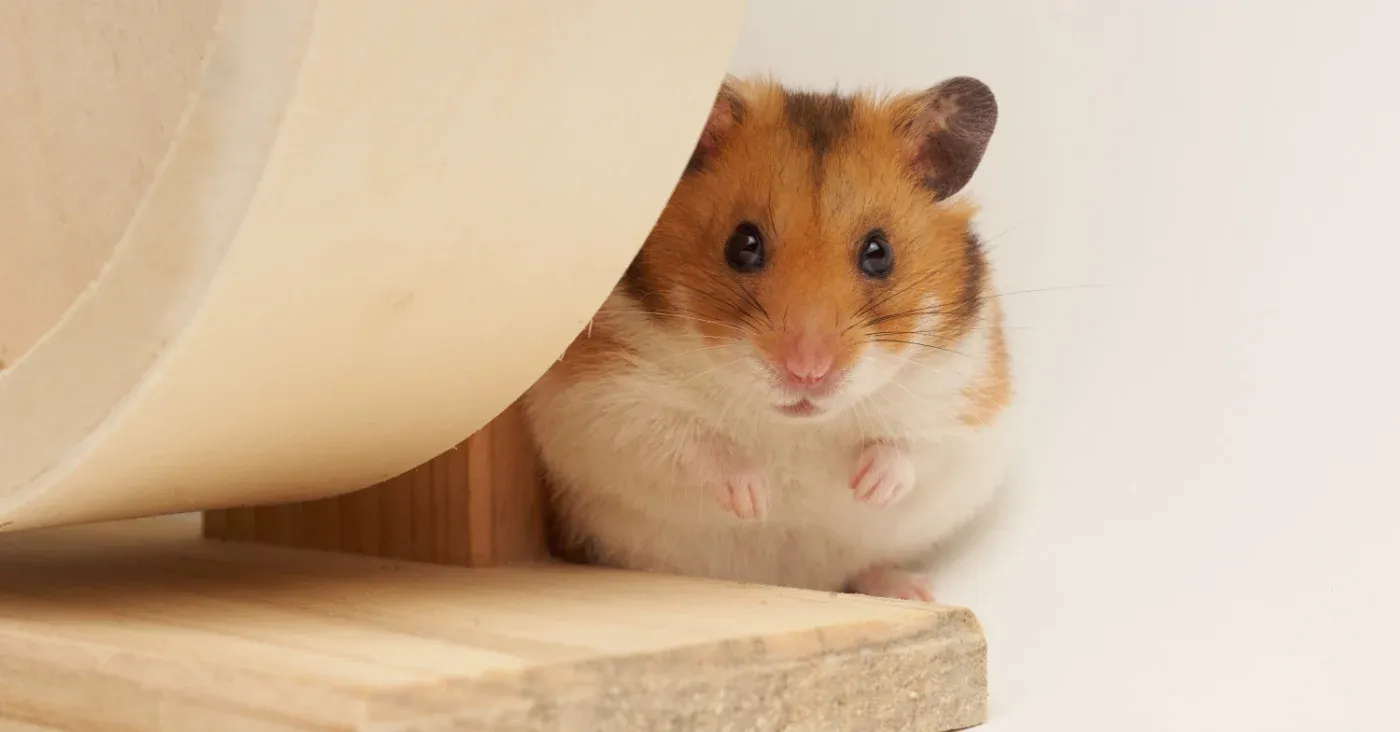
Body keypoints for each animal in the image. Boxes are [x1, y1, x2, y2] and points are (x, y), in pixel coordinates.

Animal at [523, 76, 1011, 602]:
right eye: (743, 244)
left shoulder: (965, 401)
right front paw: (758, 500)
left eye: (879, 253)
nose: (808, 372)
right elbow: (690, 441)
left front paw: (864, 488)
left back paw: (912, 591)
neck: (794, 426)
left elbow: (914, 447)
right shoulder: (604, 398)